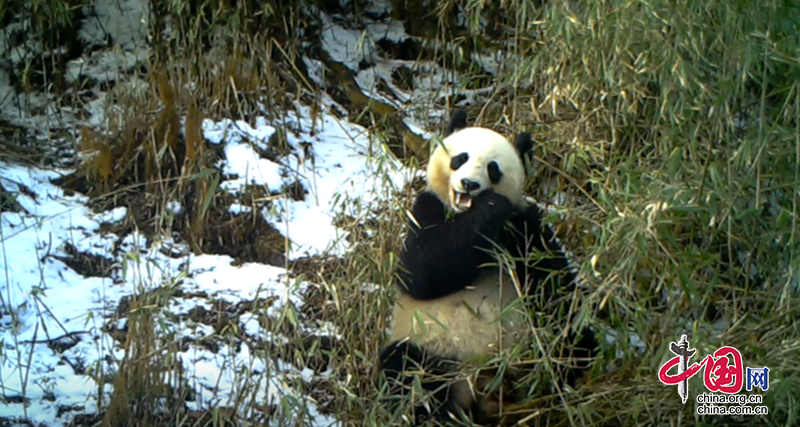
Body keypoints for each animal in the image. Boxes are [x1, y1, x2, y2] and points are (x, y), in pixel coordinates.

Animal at [378, 108, 596, 426]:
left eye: (493, 168)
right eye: (461, 158)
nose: (470, 184)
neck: (465, 216)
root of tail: (484, 387)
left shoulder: (525, 227)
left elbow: (553, 285)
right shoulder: (426, 209)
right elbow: (420, 271)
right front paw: (490, 206)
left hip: (528, 347)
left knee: (572, 339)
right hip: (437, 352)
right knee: (405, 368)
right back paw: (434, 415)